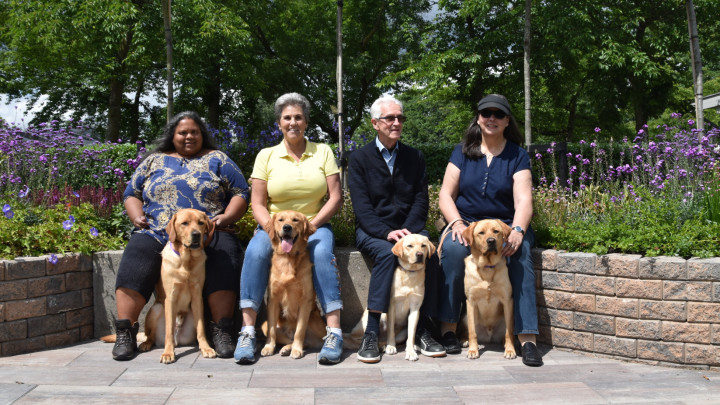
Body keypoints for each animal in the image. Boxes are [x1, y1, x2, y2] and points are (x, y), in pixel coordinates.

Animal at [137, 208, 217, 362]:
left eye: (201, 223)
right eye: (184, 223)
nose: (196, 234)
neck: (186, 261)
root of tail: (178, 339)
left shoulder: (197, 297)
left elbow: (201, 329)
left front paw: (206, 348)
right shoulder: (171, 297)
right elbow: (169, 329)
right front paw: (168, 353)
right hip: (156, 308)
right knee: (151, 336)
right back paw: (146, 344)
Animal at [260, 210, 324, 358]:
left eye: (295, 220)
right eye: (281, 220)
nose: (287, 227)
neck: (287, 259)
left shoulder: (305, 301)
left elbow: (300, 331)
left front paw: (296, 349)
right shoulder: (273, 299)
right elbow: (272, 330)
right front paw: (268, 347)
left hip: (315, 322)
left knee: (303, 339)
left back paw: (292, 348)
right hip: (263, 325)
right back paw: (286, 348)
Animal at [462, 219, 516, 358]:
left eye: (496, 231)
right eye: (481, 233)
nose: (491, 241)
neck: (487, 266)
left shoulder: (507, 300)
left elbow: (509, 332)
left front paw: (510, 350)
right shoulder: (470, 301)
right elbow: (472, 332)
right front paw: (473, 350)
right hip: (465, 317)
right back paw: (464, 340)